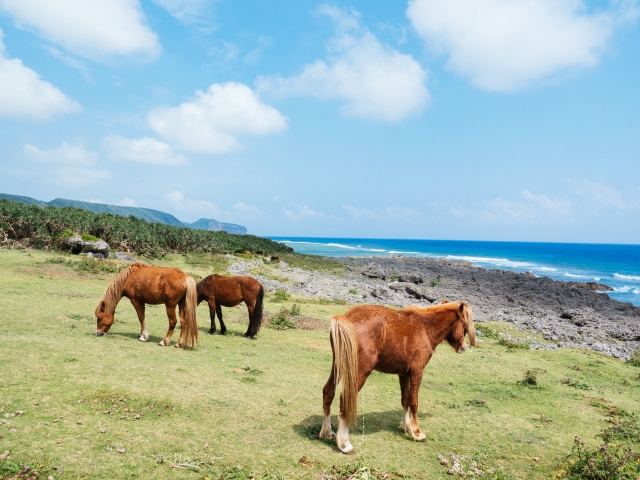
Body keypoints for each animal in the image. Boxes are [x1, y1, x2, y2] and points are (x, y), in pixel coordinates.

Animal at [320, 302, 476, 456]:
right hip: (359, 373)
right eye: (464, 323)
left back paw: (327, 432)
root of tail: (346, 318)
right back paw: (344, 444)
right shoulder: (417, 372)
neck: (424, 327)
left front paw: (407, 427)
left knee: (328, 391)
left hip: (339, 367)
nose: (463, 347)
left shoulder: (404, 374)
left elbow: (405, 400)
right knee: (344, 399)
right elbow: (413, 402)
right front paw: (417, 432)